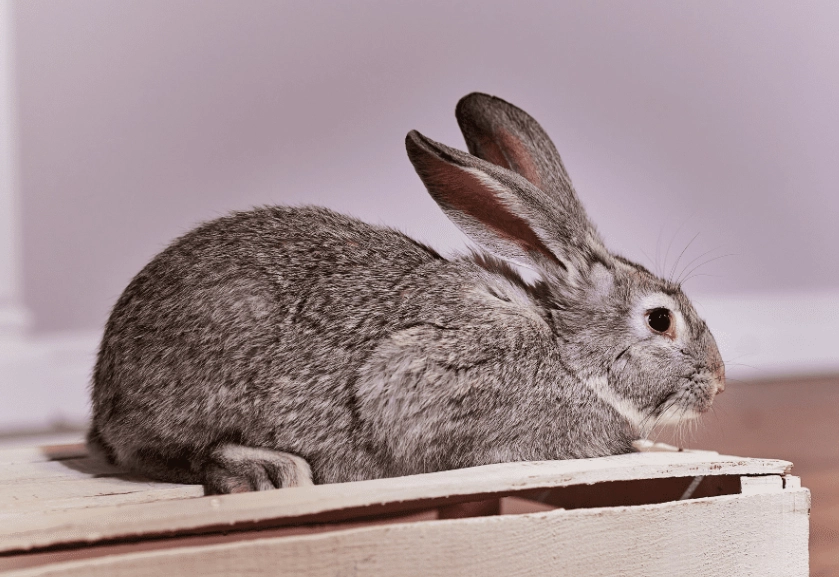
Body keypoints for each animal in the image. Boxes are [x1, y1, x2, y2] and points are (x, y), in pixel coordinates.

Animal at [88, 92, 725, 494]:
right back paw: (272, 472)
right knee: (175, 455)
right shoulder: (416, 376)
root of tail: (105, 395)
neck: (569, 354)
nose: (718, 385)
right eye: (661, 320)